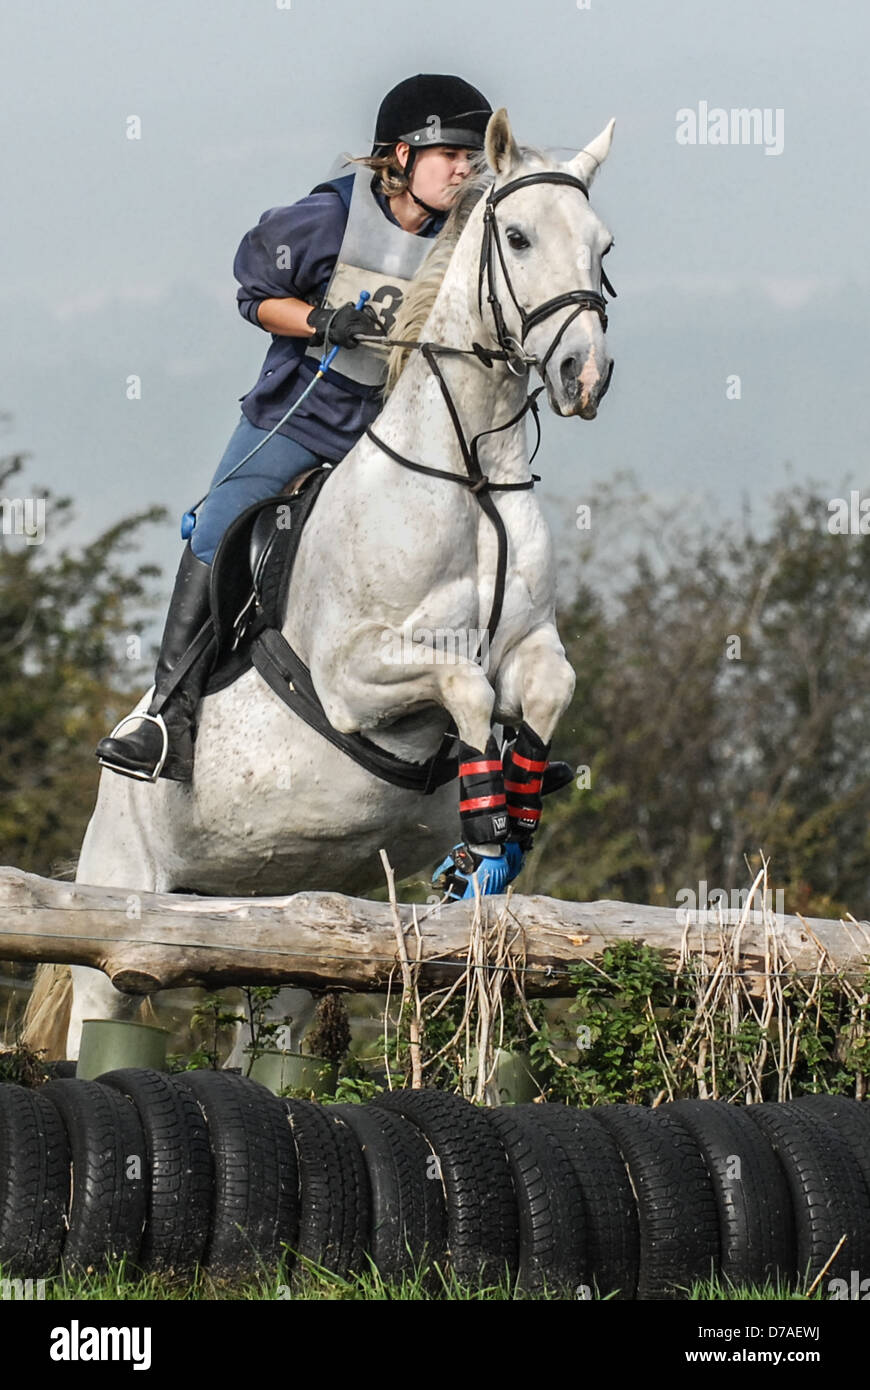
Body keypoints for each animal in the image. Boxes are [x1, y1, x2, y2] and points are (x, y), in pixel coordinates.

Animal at [22, 111, 617, 1061]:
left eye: (603, 246)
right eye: (519, 238)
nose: (583, 378)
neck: (470, 474)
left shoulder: (531, 646)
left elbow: (542, 688)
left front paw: (507, 831)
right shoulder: (353, 676)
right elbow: (465, 683)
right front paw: (483, 828)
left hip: (279, 930)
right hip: (121, 903)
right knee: (96, 1009)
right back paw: (147, 741)